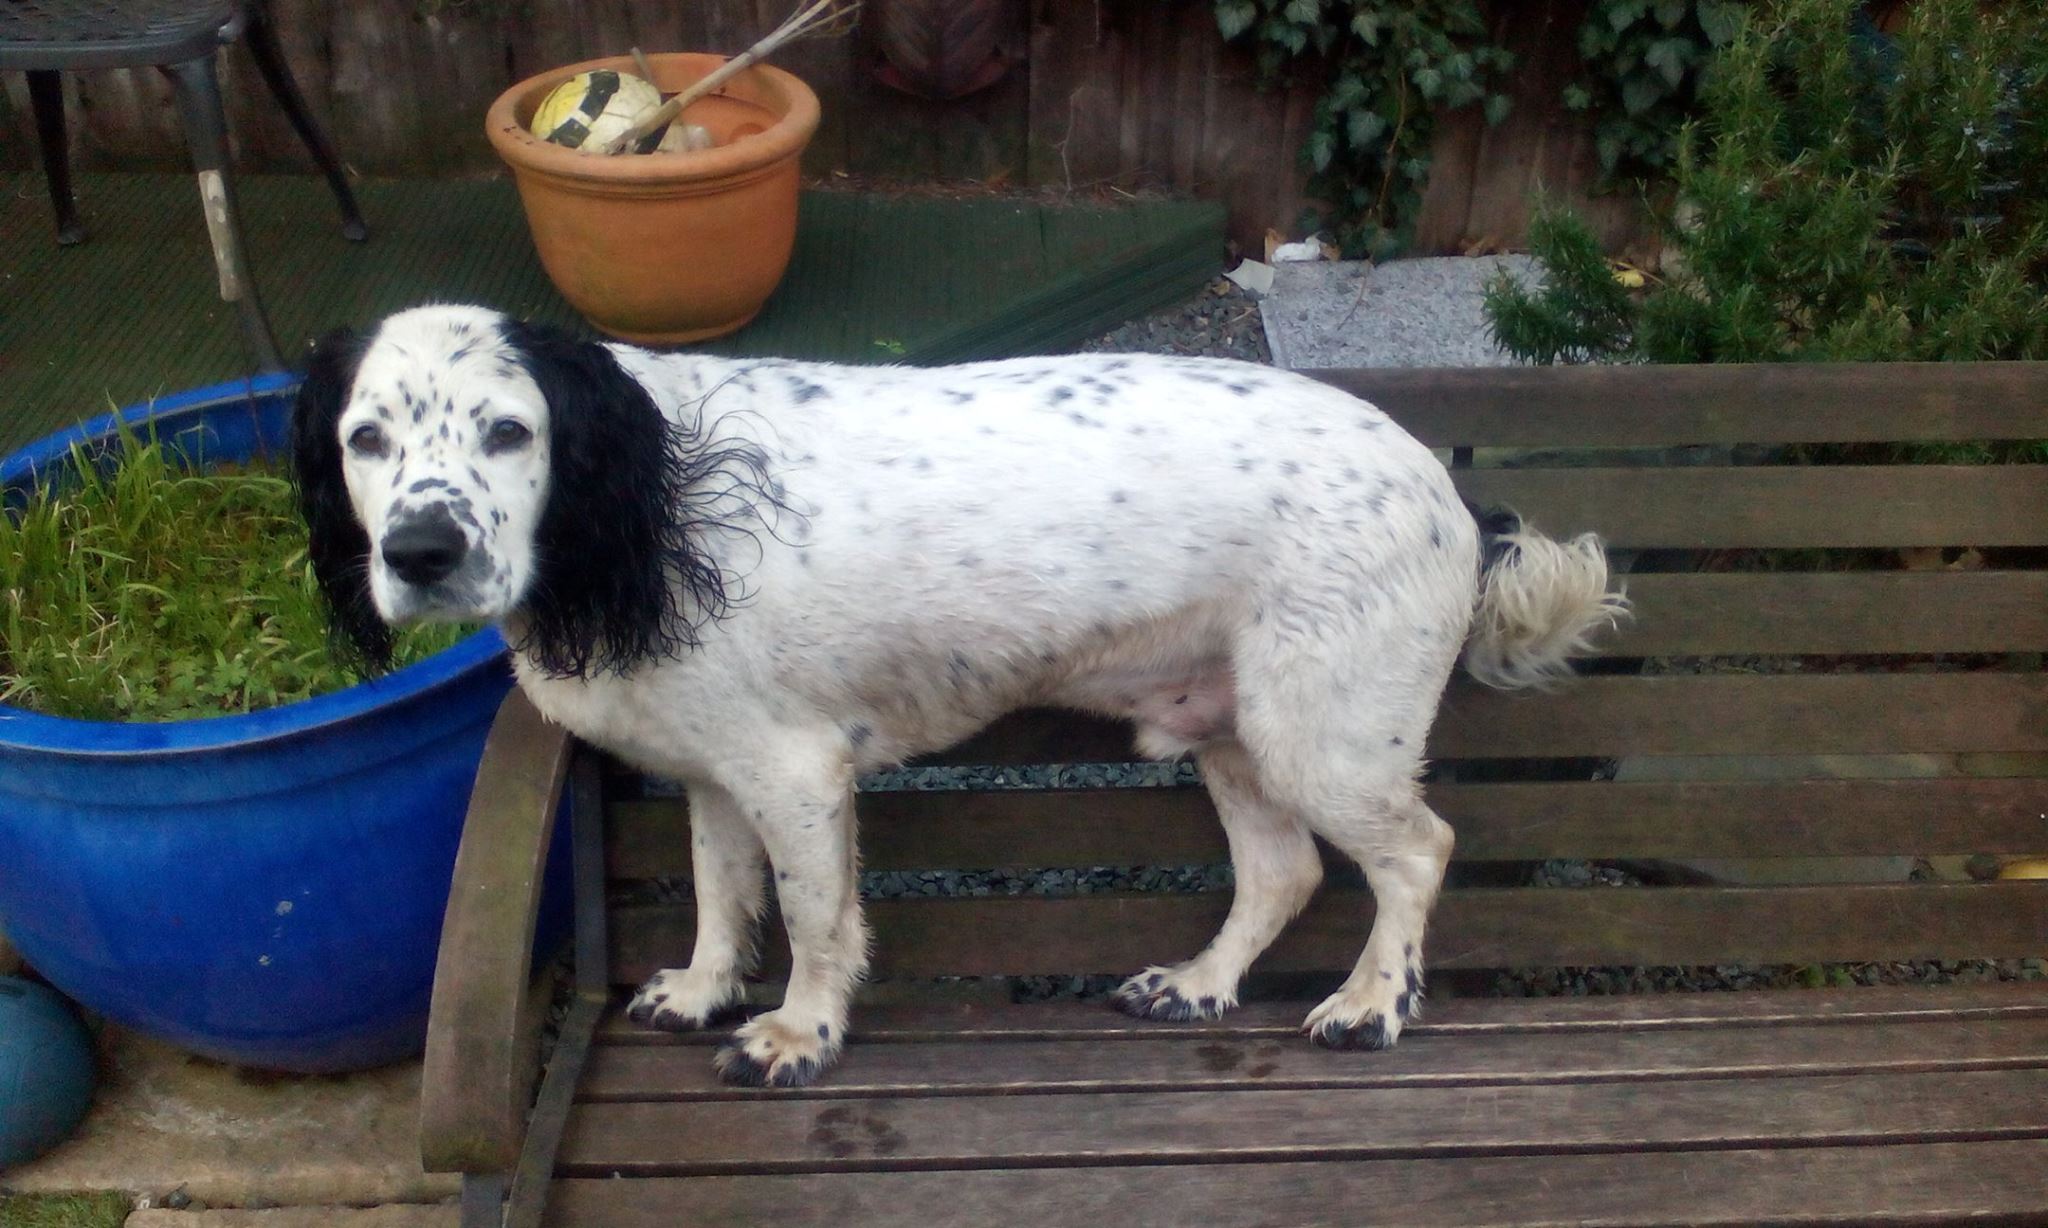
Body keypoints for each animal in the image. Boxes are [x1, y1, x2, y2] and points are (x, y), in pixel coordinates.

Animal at [293, 303, 1625, 1088]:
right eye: (365, 439)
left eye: (509, 431)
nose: (419, 551)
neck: (653, 502)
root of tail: (1442, 486)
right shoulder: (716, 773)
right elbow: (724, 897)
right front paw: (702, 989)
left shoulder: (796, 773)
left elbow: (815, 918)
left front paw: (796, 1032)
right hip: (1236, 726)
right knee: (1283, 870)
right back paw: (1198, 981)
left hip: (1320, 733)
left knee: (1414, 850)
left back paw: (1368, 1004)